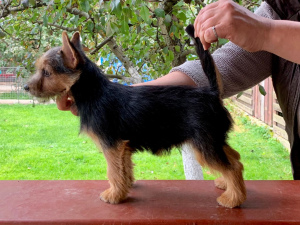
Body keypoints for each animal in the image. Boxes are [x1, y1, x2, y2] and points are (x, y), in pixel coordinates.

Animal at [24, 24, 246, 207]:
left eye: (47, 73)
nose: (26, 87)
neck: (94, 93)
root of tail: (212, 93)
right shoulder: (123, 147)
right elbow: (124, 169)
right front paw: (124, 189)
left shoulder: (111, 146)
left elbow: (113, 171)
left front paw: (113, 196)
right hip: (213, 140)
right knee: (235, 157)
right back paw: (225, 184)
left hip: (205, 144)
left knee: (232, 166)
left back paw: (233, 199)